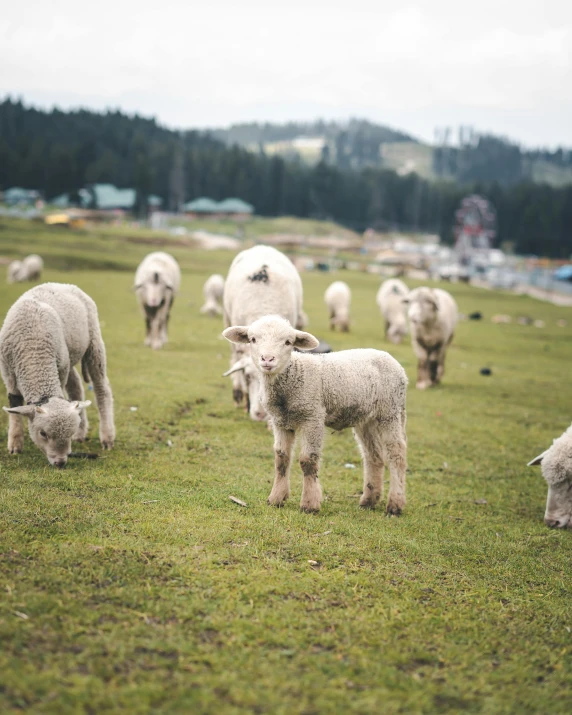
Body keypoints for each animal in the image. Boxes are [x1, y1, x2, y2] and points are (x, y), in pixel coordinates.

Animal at [0, 282, 116, 468]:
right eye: (43, 434)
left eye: (68, 433)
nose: (60, 462)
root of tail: (62, 284)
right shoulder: (8, 371)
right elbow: (15, 403)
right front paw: (15, 445)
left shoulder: (60, 369)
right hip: (68, 354)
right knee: (76, 386)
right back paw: (81, 434)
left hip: (93, 342)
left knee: (101, 389)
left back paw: (107, 437)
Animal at [222, 314, 406, 516]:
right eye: (253, 339)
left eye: (288, 342)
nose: (268, 359)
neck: (292, 377)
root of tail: (391, 359)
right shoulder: (280, 421)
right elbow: (281, 459)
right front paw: (276, 498)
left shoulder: (313, 417)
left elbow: (307, 461)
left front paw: (309, 504)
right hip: (366, 419)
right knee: (373, 456)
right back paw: (369, 500)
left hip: (390, 411)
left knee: (396, 454)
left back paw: (395, 505)